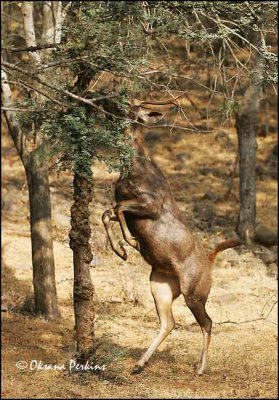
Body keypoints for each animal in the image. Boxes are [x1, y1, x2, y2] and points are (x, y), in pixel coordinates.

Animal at [101, 99, 242, 376]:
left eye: (129, 107)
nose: (105, 101)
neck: (133, 170)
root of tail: (210, 262)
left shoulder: (150, 205)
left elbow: (118, 210)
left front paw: (130, 244)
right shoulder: (126, 208)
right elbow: (107, 213)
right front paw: (122, 250)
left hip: (194, 290)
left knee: (207, 322)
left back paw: (200, 368)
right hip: (161, 285)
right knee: (169, 321)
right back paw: (139, 364)